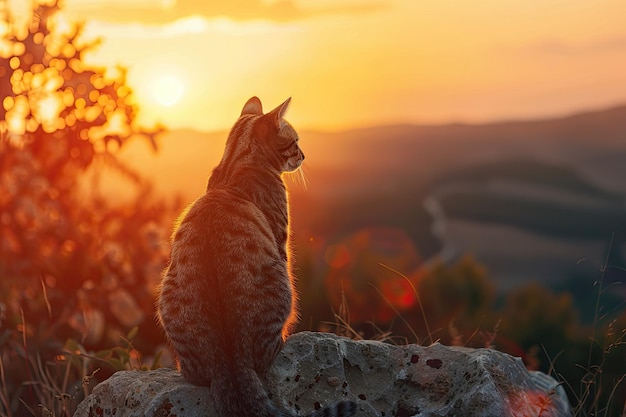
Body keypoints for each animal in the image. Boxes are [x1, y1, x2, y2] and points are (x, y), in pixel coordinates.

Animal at [156, 97, 356, 416]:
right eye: (295, 141)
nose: (304, 155)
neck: (234, 165)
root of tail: (229, 363)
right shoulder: (281, 242)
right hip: (281, 286)